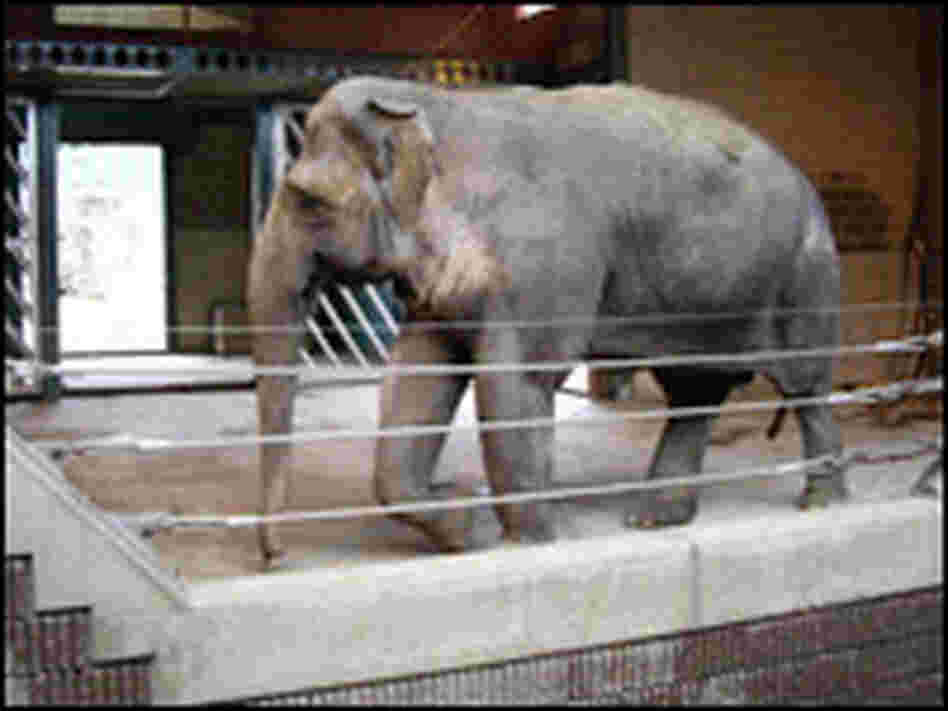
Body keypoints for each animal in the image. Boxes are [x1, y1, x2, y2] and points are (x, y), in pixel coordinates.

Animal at [248, 76, 846, 565]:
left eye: (306, 199)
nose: (278, 558)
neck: (437, 104)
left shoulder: (539, 268)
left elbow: (517, 384)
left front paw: (529, 541)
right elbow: (418, 382)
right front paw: (467, 524)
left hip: (806, 277)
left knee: (806, 386)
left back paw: (819, 503)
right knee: (694, 392)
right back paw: (653, 517)